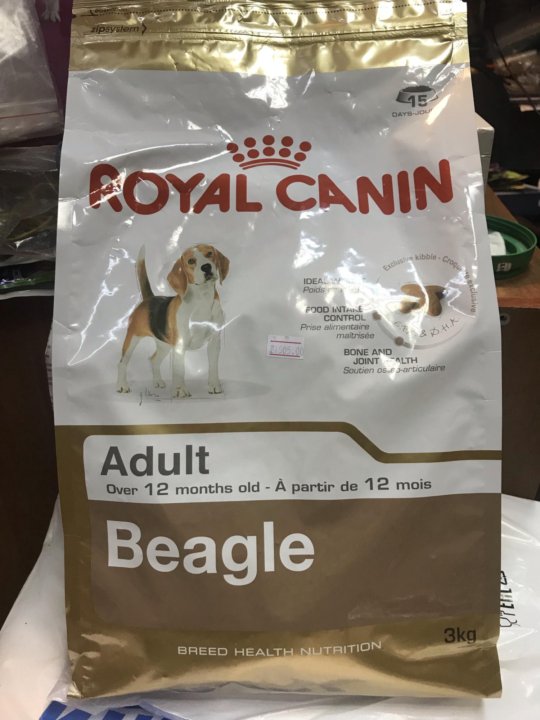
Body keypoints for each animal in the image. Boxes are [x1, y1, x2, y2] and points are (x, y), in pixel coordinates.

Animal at [117, 244, 229, 398]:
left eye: (210, 253)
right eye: (191, 261)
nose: (206, 267)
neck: (202, 299)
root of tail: (149, 298)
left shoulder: (214, 342)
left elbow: (213, 366)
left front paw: (214, 386)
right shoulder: (180, 345)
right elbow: (180, 369)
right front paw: (180, 389)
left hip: (164, 344)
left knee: (153, 360)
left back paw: (158, 382)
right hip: (132, 339)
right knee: (122, 363)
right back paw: (122, 386)